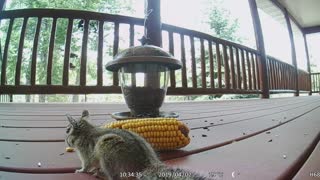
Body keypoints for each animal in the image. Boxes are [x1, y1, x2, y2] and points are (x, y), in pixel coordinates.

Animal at [65, 110, 210, 179]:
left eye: (67, 131)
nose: (66, 140)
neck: (87, 131)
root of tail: (144, 164)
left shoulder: (85, 154)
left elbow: (86, 165)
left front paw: (80, 170)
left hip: (107, 153)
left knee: (114, 177)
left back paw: (102, 174)